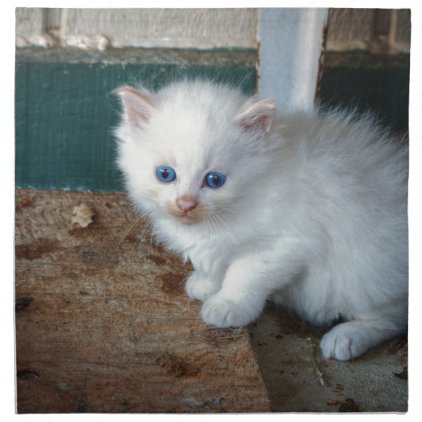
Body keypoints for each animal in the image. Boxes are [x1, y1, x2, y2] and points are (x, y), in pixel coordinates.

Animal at [113, 81, 408, 362]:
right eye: (165, 174)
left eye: (215, 180)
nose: (186, 204)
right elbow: (212, 263)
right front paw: (206, 284)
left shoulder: (285, 243)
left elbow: (245, 275)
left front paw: (228, 305)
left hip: (362, 271)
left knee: (392, 317)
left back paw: (346, 337)